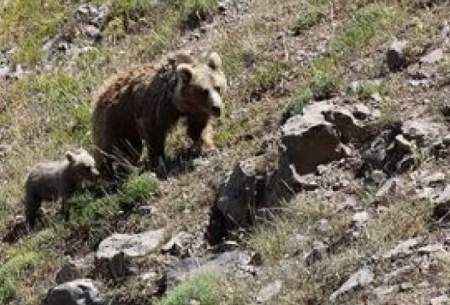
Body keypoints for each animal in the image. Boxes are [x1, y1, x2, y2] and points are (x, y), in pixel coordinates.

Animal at [92, 51, 227, 177]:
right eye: (204, 91)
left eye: (218, 87)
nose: (217, 108)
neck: (176, 102)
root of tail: (102, 90)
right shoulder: (157, 105)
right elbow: (154, 131)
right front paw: (159, 161)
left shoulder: (196, 110)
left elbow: (198, 128)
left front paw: (208, 148)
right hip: (114, 118)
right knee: (108, 148)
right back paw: (107, 172)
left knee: (129, 148)